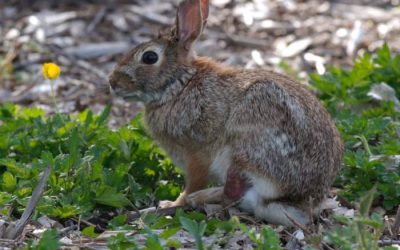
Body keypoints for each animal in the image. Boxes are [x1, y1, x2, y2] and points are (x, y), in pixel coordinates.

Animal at [108, 0, 344, 227]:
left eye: (149, 57)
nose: (112, 82)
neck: (180, 84)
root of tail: (302, 202)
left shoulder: (197, 153)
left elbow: (193, 182)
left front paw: (174, 203)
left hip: (249, 140)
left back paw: (200, 197)